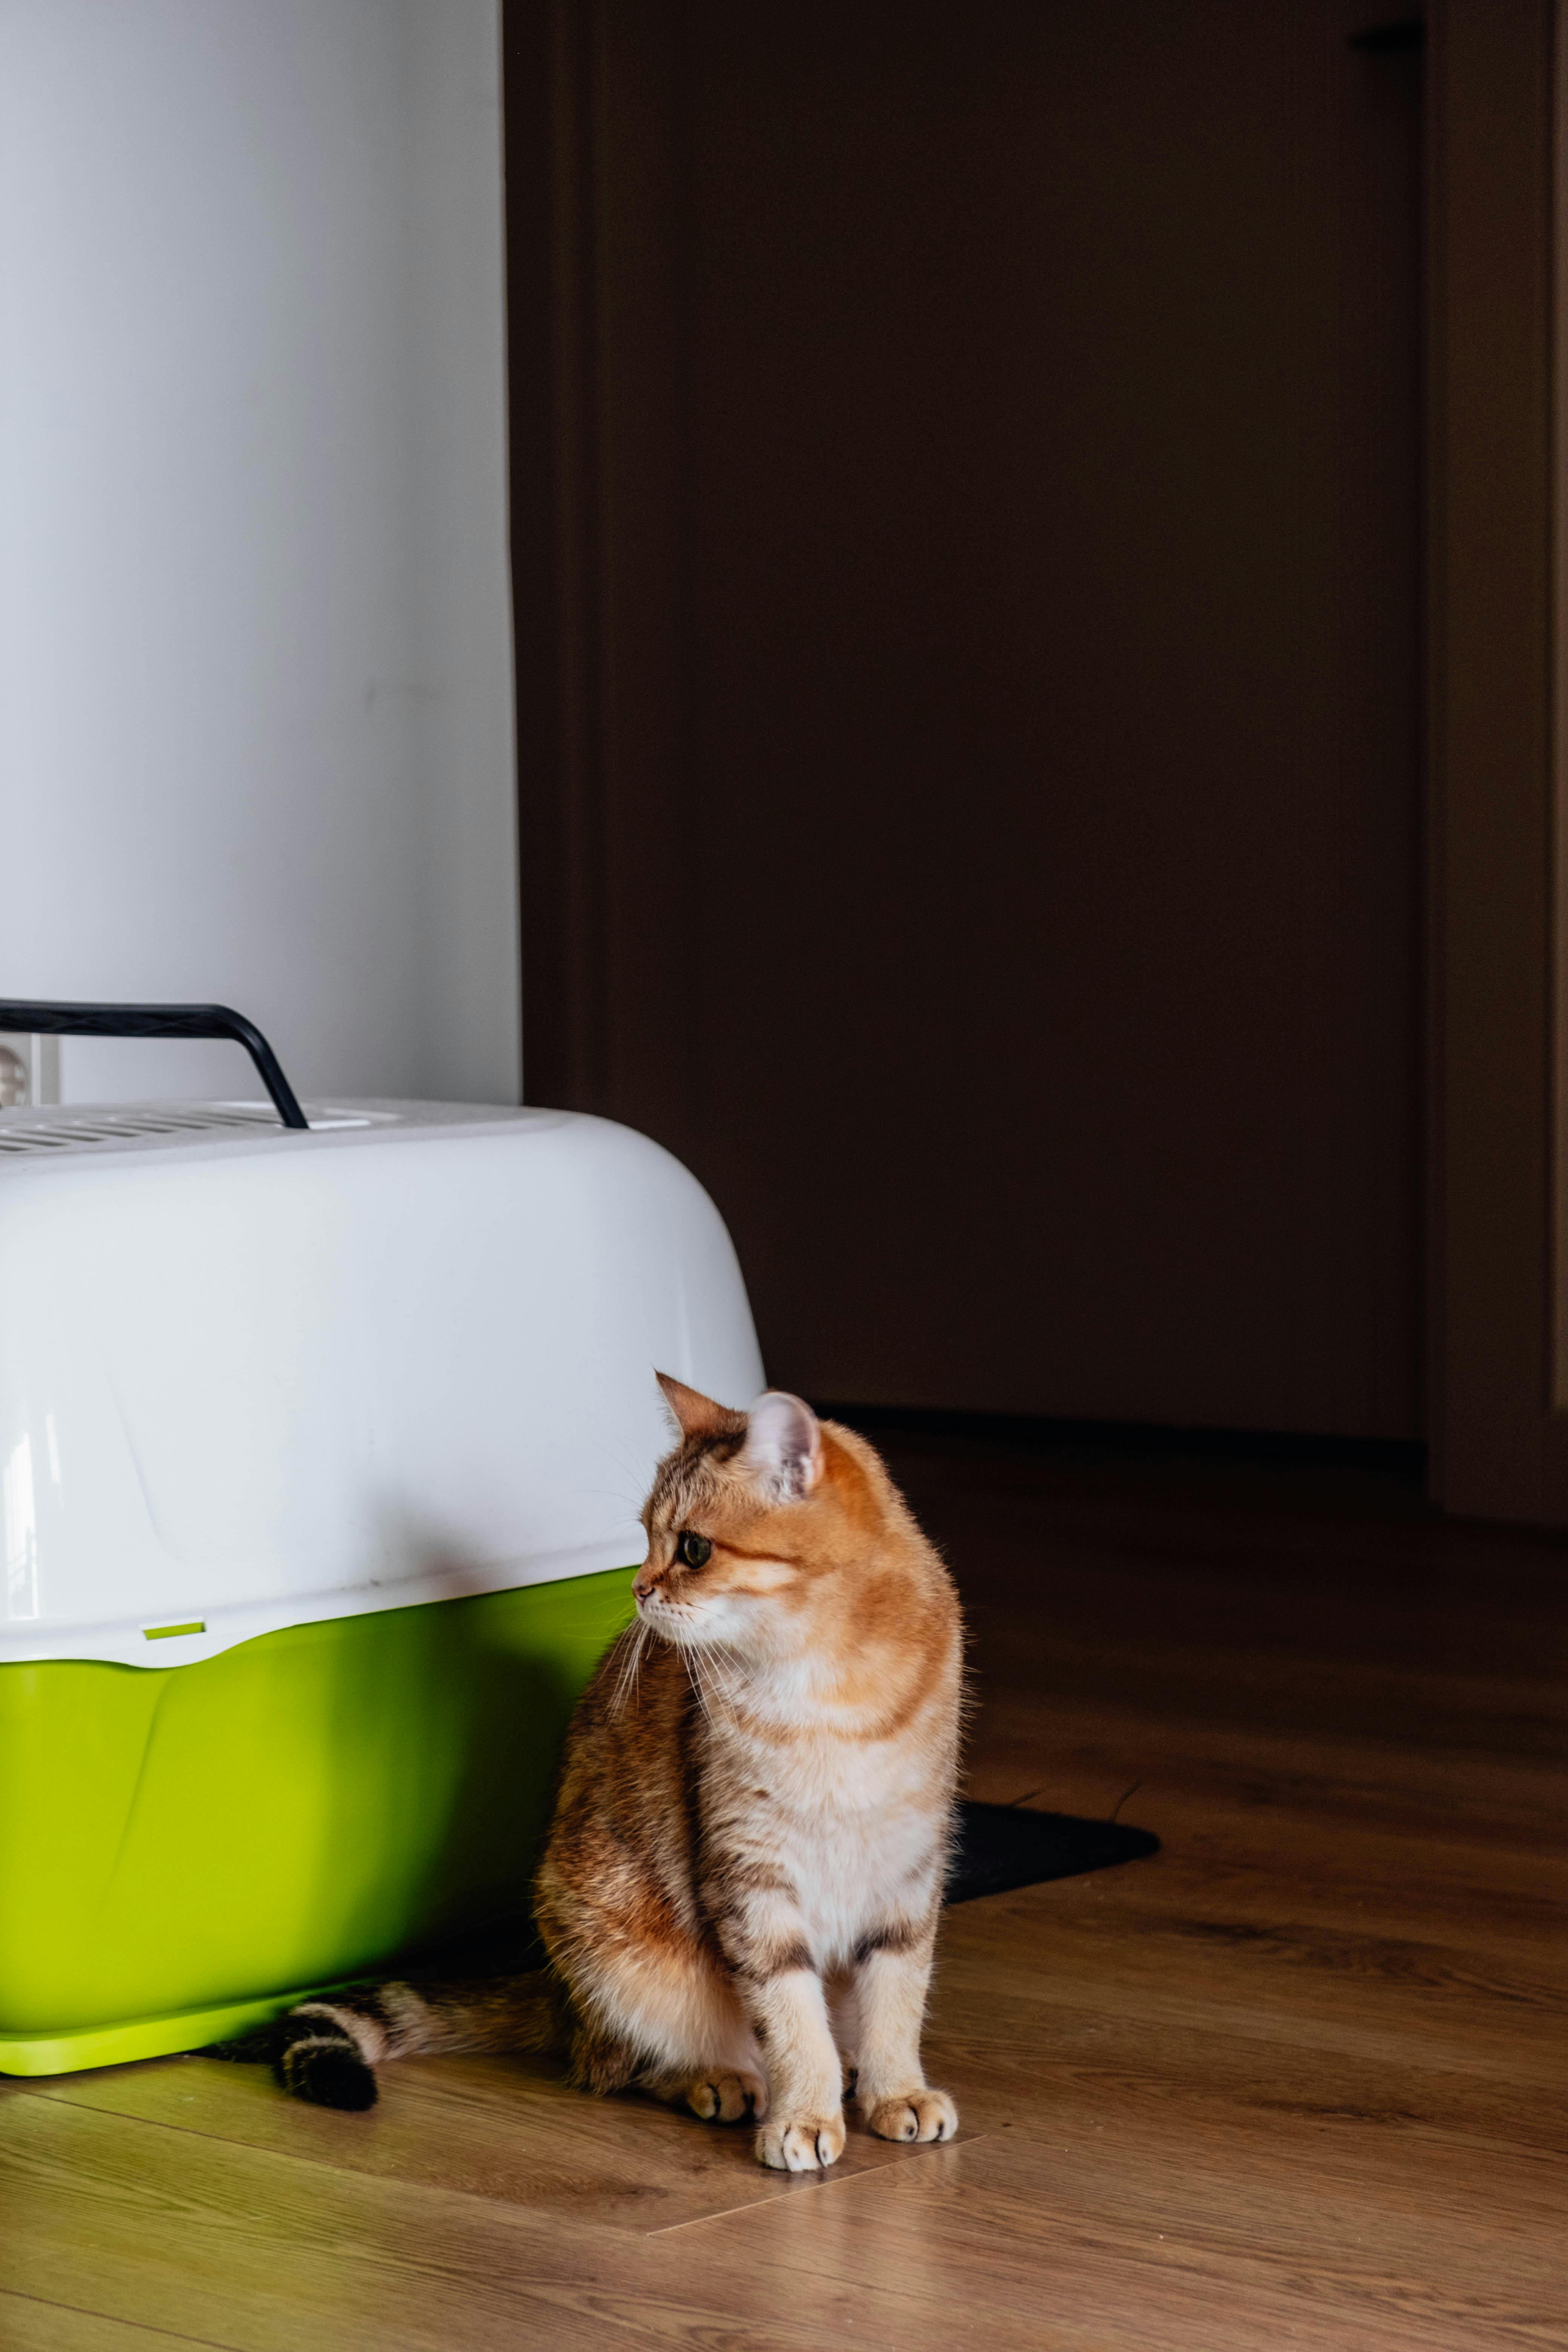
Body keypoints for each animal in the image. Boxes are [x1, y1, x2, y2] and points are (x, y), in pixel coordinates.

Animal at [271, 1374, 964, 2164]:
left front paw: (897, 2092)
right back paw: (719, 2080)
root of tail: (558, 1998)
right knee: (618, 2064)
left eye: (692, 1548)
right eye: (646, 1535)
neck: (828, 1688)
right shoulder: (749, 1876)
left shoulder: (910, 1872)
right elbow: (790, 2016)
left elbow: (897, 1999)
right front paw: (805, 2116)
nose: (638, 1587)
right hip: (609, 1939)